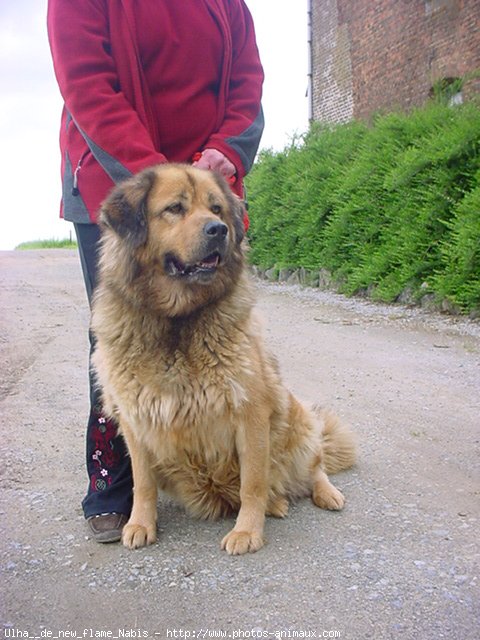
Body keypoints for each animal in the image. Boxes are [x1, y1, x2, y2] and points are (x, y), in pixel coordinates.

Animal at [92, 165, 356, 556]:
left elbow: (253, 483)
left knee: (314, 465)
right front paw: (140, 524)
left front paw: (247, 532)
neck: (178, 321)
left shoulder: (251, 414)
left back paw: (325, 493)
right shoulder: (134, 420)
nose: (219, 230)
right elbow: (143, 484)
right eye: (175, 208)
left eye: (216, 209)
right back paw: (278, 504)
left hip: (298, 420)